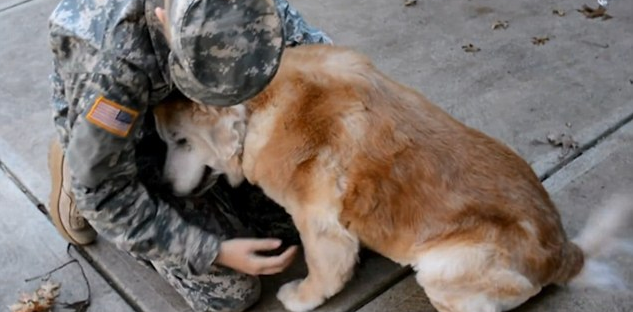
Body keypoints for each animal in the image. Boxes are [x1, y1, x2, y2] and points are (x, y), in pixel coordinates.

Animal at [154, 44, 632, 312]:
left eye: (179, 141)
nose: (162, 189)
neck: (260, 104)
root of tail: (564, 252)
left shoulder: (318, 223)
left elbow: (324, 272)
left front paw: (302, 297)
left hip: (442, 266)